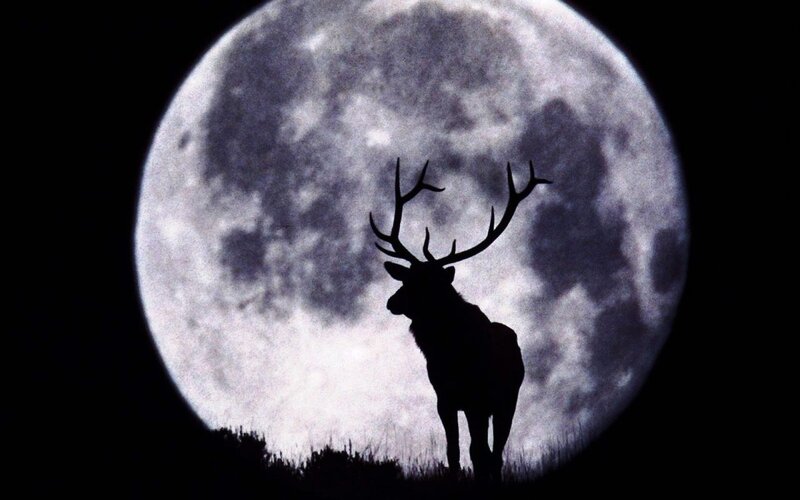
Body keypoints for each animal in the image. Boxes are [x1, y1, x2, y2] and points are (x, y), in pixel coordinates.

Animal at [369, 158, 551, 482]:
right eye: (406, 278)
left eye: (426, 283)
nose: (392, 302)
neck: (448, 353)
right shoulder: (445, 398)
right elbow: (452, 452)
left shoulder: (478, 397)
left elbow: (478, 453)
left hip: (507, 400)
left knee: (494, 454)